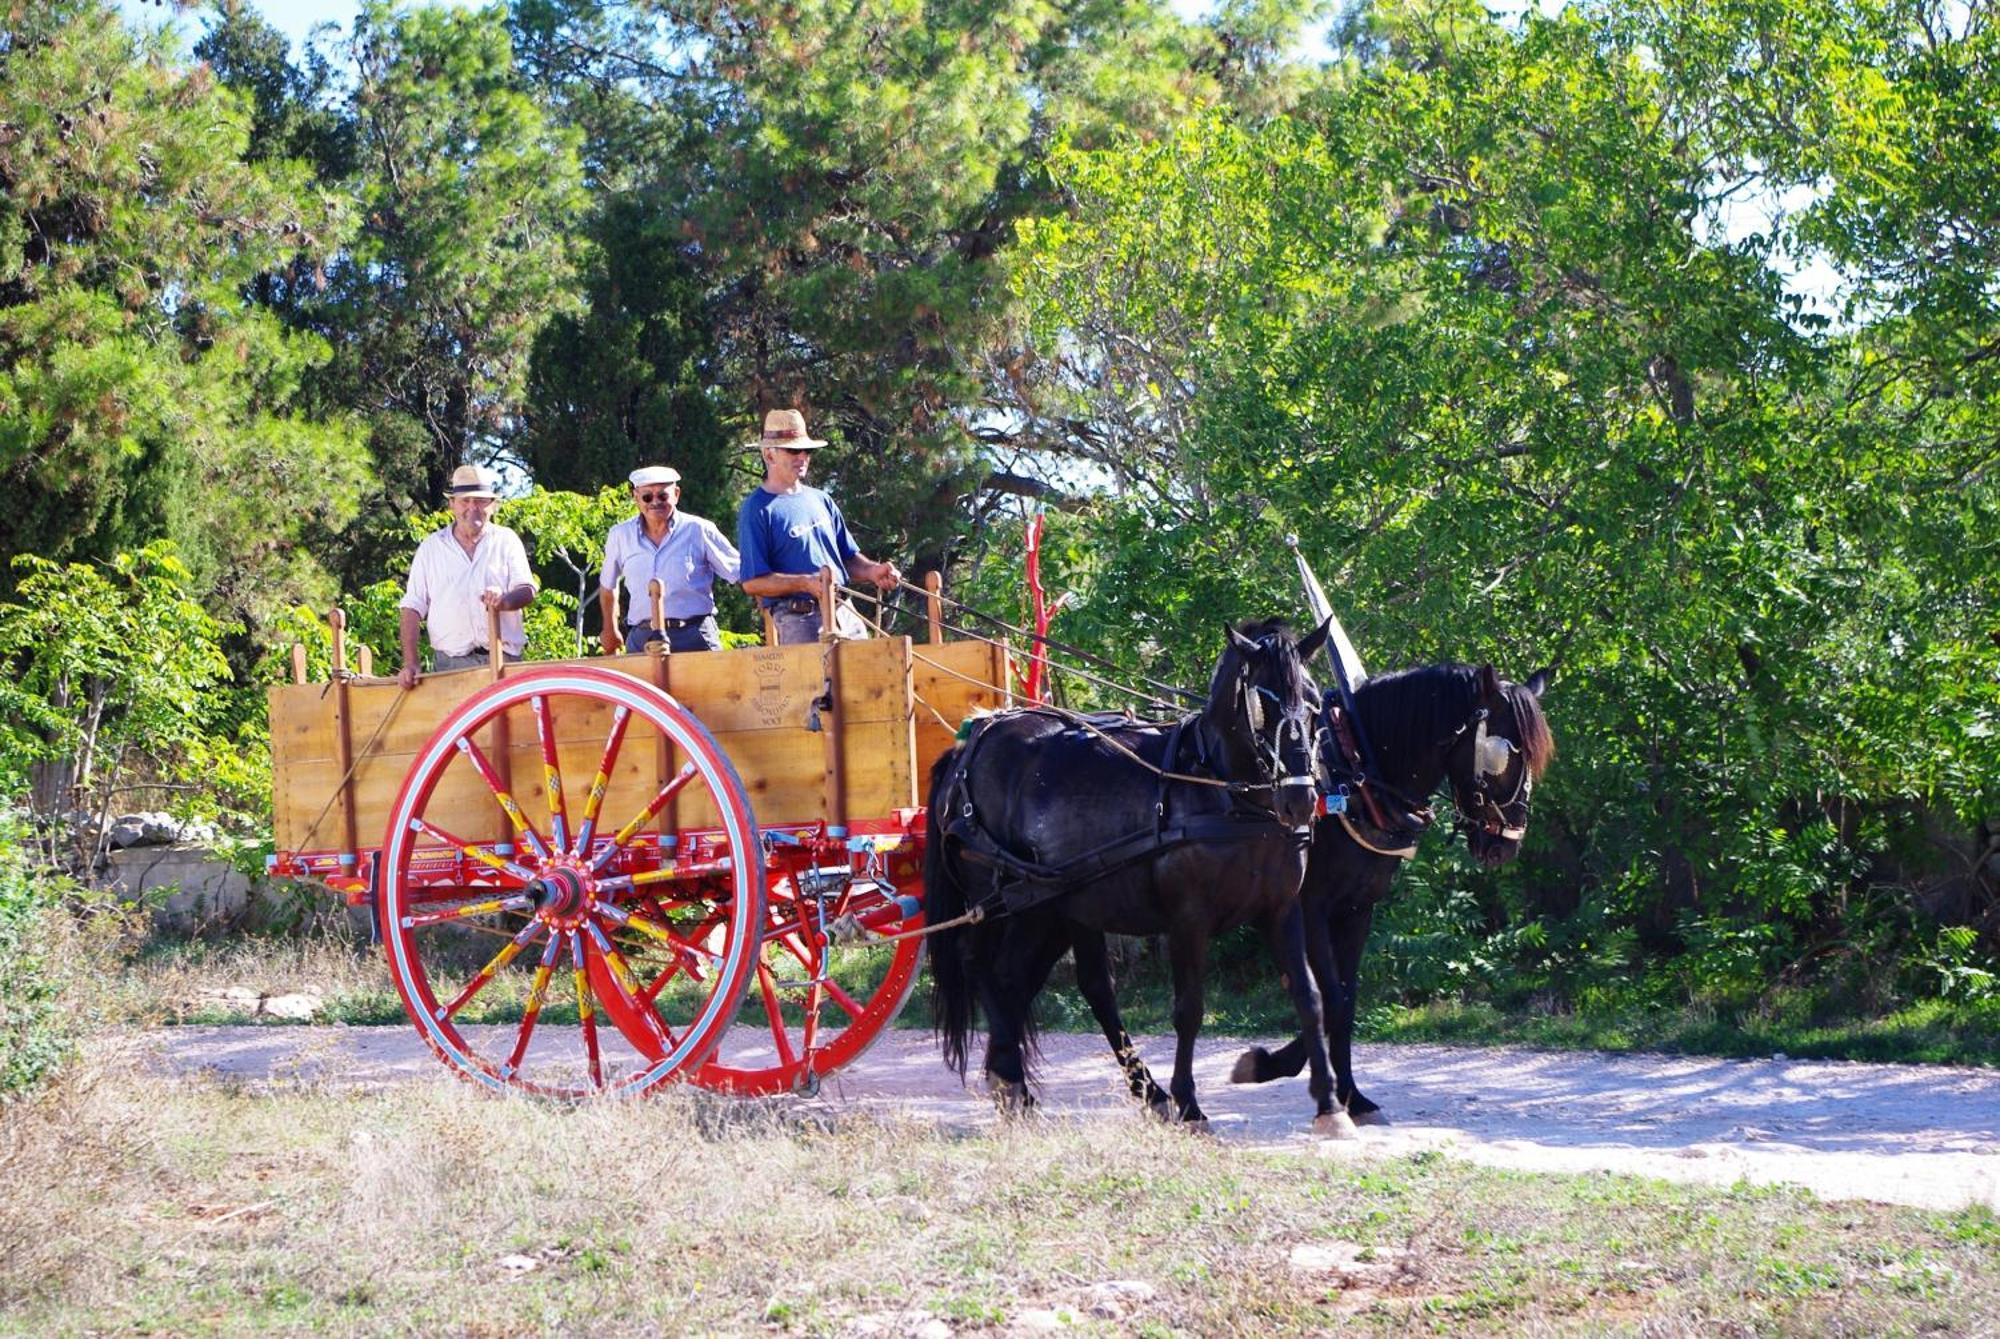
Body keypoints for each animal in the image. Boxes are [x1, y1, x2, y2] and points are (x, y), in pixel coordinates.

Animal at [920, 623, 1344, 1135]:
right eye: (1261, 703)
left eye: (1314, 701)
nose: (1300, 798)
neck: (1226, 794)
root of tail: (972, 742)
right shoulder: (1188, 919)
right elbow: (1189, 1010)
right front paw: (1190, 1105)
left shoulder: (1280, 909)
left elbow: (1310, 997)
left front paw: (1330, 1105)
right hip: (996, 896)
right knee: (981, 965)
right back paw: (1018, 1082)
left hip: (1049, 906)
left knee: (1027, 980)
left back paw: (1029, 1084)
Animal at [1224, 667, 1552, 1127]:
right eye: (1505, 755)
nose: (1506, 844)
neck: (1353, 776)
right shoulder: (1312, 907)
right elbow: (1331, 998)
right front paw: (1276, 1066)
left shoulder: (1358, 908)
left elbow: (1346, 998)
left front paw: (1351, 1095)